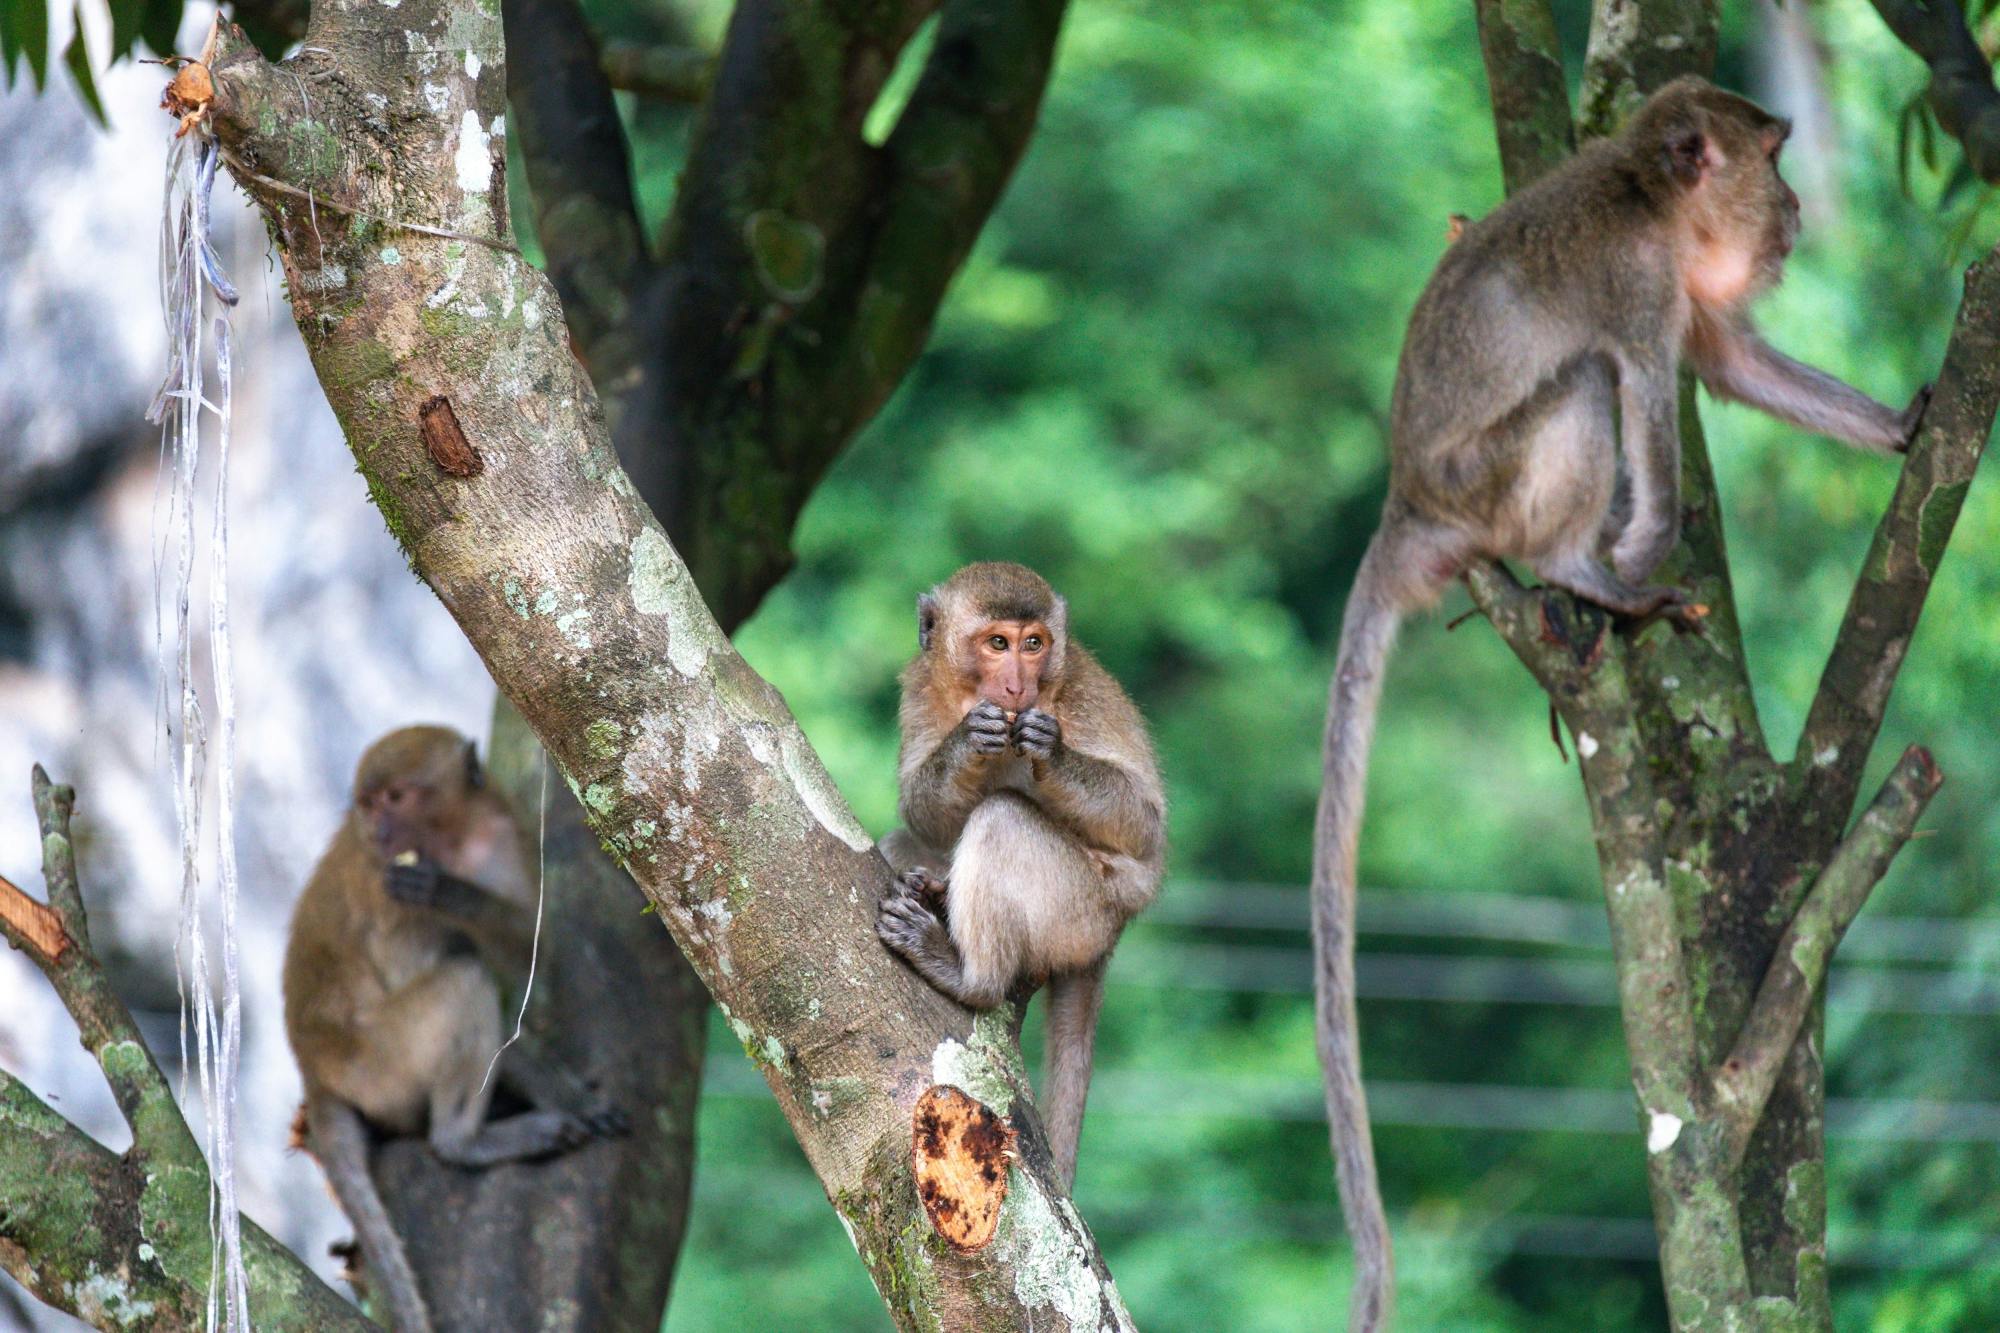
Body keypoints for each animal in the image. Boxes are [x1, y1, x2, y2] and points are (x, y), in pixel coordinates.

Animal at [278, 728, 612, 1328]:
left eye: (395, 798)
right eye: (369, 804)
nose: (379, 831)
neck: (449, 839)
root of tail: (313, 1069)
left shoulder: (498, 833)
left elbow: (529, 953)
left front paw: (455, 894)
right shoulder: (386, 893)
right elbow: (490, 984)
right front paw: (571, 1100)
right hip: (379, 1059)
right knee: (465, 978)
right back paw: (466, 1141)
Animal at [868, 560, 1168, 1184]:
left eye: (1034, 644)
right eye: (998, 644)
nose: (1016, 688)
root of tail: (1115, 932)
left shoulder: (1078, 694)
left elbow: (1144, 826)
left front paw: (1050, 753)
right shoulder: (920, 687)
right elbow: (922, 814)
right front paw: (966, 743)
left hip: (1078, 914)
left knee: (1002, 818)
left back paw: (968, 975)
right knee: (912, 838)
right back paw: (926, 889)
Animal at [1304, 75, 1928, 1328]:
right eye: (1771, 156)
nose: (1792, 206)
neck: (1647, 199)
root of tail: (1404, 503)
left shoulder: (1683, 287)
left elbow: (1728, 365)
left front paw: (1904, 424)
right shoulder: (1641, 283)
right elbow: (1645, 390)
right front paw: (1642, 559)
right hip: (1487, 482)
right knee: (1590, 382)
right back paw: (1583, 573)